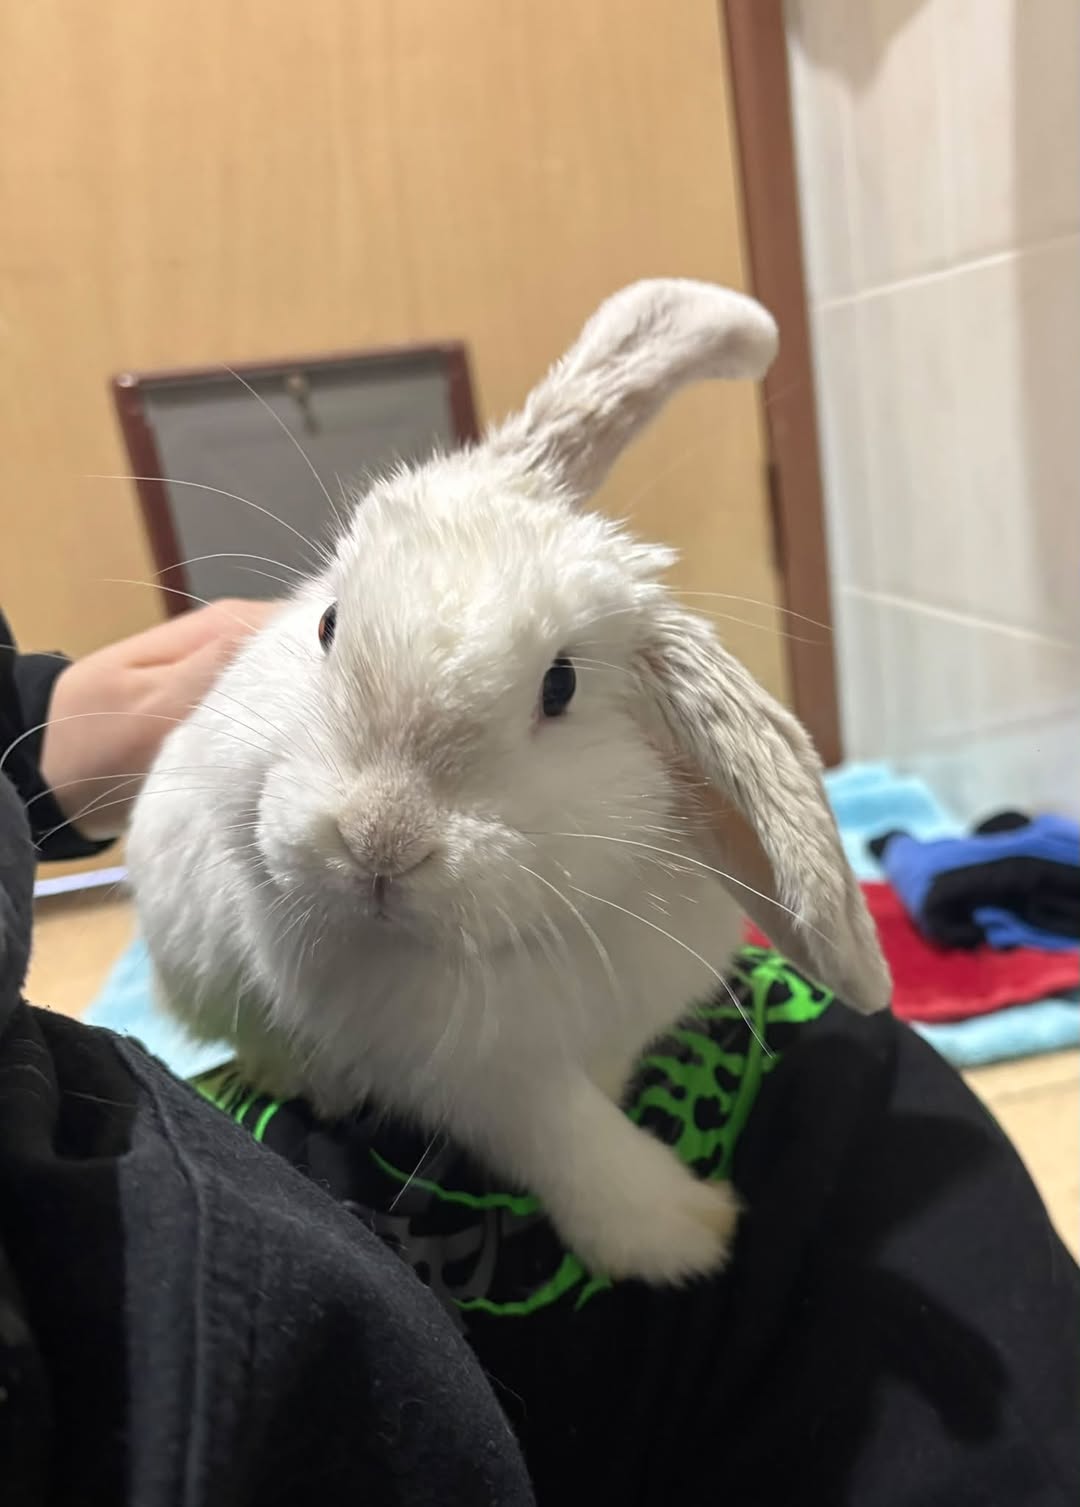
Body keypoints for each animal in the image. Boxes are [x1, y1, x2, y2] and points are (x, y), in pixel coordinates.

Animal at [126, 279, 891, 1285]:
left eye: (559, 685)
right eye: (329, 625)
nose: (378, 841)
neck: (503, 943)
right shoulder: (481, 1078)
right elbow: (569, 1140)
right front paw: (686, 1232)